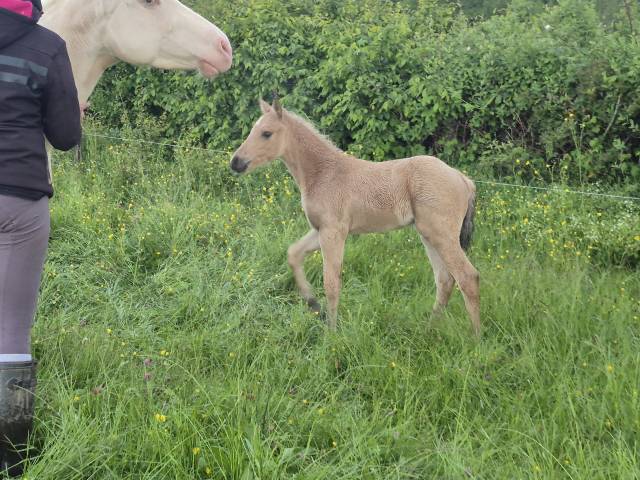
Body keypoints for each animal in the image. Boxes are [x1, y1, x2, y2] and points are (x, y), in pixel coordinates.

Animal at [230, 99, 481, 336]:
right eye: (253, 130)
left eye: (266, 133)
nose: (236, 163)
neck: (324, 173)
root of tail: (463, 179)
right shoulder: (320, 230)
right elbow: (293, 254)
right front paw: (313, 304)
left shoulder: (333, 232)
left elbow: (331, 282)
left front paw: (331, 333)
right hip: (428, 235)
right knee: (445, 280)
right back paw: (429, 328)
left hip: (441, 235)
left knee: (467, 277)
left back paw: (476, 339)